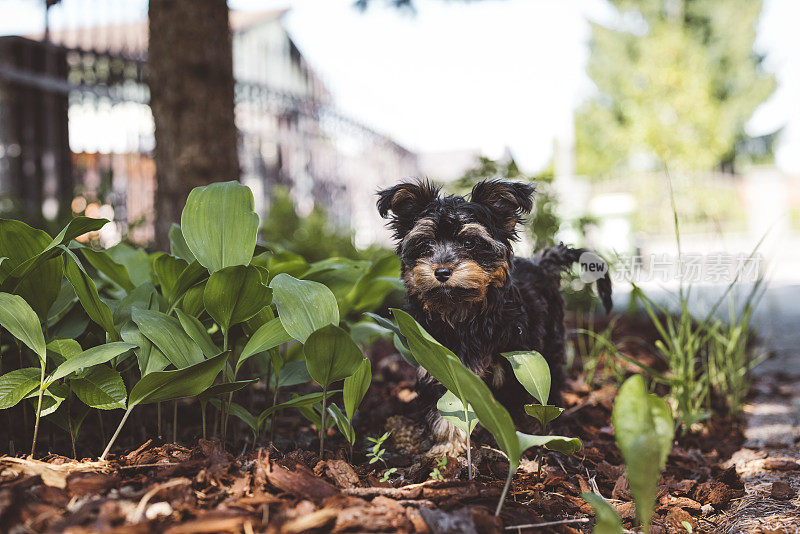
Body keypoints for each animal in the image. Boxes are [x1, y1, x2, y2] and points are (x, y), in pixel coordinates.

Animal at [376, 182, 612, 458]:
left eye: (469, 242)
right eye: (425, 244)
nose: (442, 271)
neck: (462, 314)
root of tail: (541, 264)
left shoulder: (518, 364)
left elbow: (523, 403)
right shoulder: (439, 364)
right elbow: (445, 407)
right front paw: (447, 448)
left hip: (548, 347)